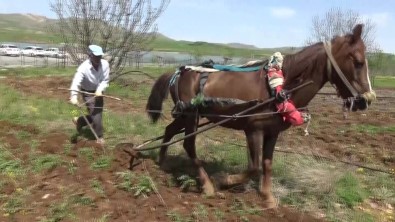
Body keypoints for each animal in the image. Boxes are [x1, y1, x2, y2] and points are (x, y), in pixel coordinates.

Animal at [146, 24, 378, 208]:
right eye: (358, 62)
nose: (366, 100)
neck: (279, 87)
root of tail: (179, 72)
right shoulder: (254, 130)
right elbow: (254, 166)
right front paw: (225, 180)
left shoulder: (272, 132)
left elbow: (266, 164)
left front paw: (267, 197)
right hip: (191, 116)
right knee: (189, 144)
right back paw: (207, 184)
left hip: (186, 115)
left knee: (169, 130)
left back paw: (162, 162)